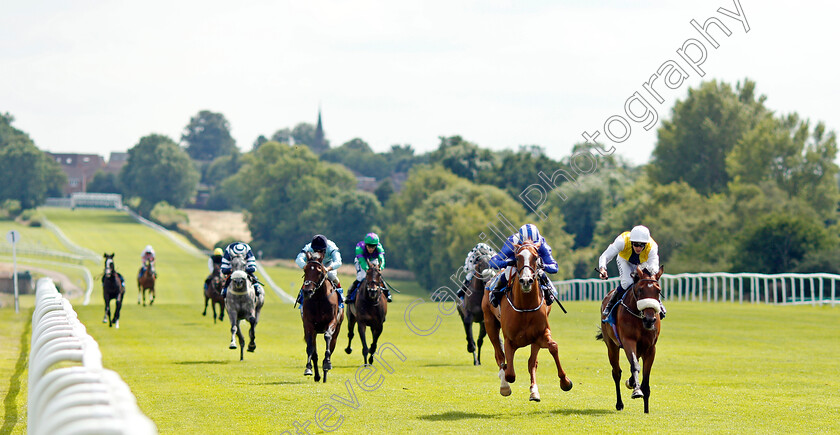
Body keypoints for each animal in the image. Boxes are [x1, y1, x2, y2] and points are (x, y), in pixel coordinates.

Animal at [300, 250, 342, 384]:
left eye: (319, 271)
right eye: (305, 270)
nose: (307, 291)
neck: (319, 298)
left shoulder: (332, 321)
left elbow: (327, 337)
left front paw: (327, 363)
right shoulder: (308, 324)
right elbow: (310, 347)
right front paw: (308, 368)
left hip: (337, 332)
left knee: (331, 346)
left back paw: (325, 373)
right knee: (314, 353)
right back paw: (318, 376)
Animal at [482, 242, 576, 402]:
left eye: (536, 257)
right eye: (517, 258)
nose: (526, 280)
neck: (525, 306)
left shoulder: (540, 335)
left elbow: (552, 347)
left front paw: (565, 382)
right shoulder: (509, 340)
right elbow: (510, 372)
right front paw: (505, 381)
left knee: (532, 362)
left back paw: (534, 392)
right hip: (490, 325)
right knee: (499, 356)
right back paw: (504, 386)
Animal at [592, 266, 668, 412]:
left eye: (658, 290)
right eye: (640, 290)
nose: (650, 319)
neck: (640, 318)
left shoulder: (650, 348)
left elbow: (645, 377)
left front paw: (646, 409)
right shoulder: (628, 341)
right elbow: (635, 365)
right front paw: (636, 391)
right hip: (611, 346)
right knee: (616, 372)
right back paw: (619, 403)